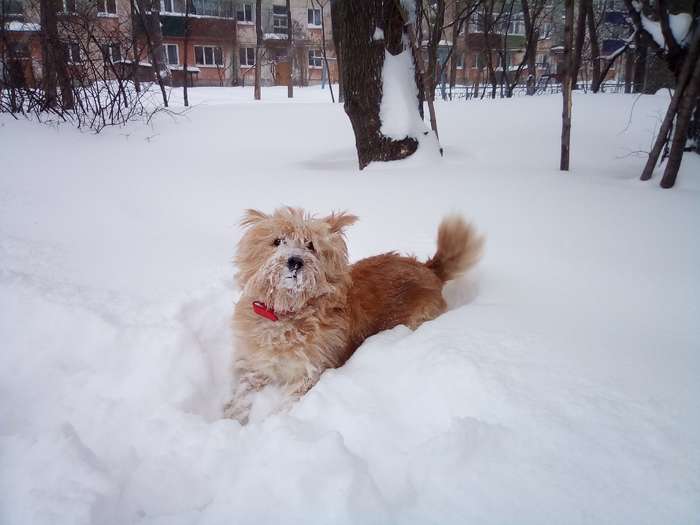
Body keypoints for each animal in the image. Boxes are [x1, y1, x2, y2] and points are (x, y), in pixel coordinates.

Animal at [223, 207, 482, 424]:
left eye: (310, 245)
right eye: (277, 241)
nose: (294, 261)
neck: (287, 313)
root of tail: (429, 269)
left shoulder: (311, 373)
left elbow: (286, 406)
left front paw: (265, 426)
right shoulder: (257, 364)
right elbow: (243, 391)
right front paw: (232, 419)